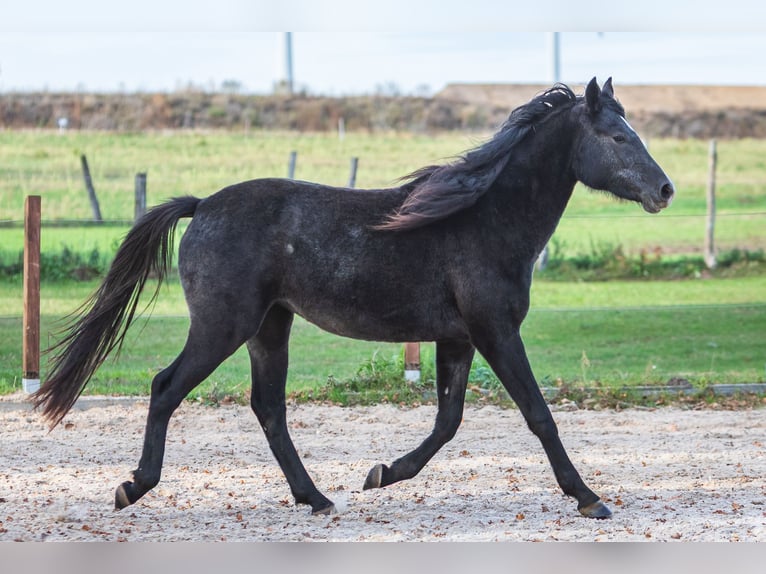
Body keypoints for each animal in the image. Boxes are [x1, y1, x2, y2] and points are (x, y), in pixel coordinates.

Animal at [33, 77, 674, 520]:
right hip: (224, 326)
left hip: (270, 327)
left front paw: (381, 473)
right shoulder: (495, 331)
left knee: (268, 408)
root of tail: (203, 205)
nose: (665, 190)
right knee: (167, 387)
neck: (483, 220)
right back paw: (132, 486)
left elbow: (447, 420)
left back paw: (315, 497)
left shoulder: (459, 337)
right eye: (618, 136)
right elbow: (538, 414)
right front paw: (589, 498)